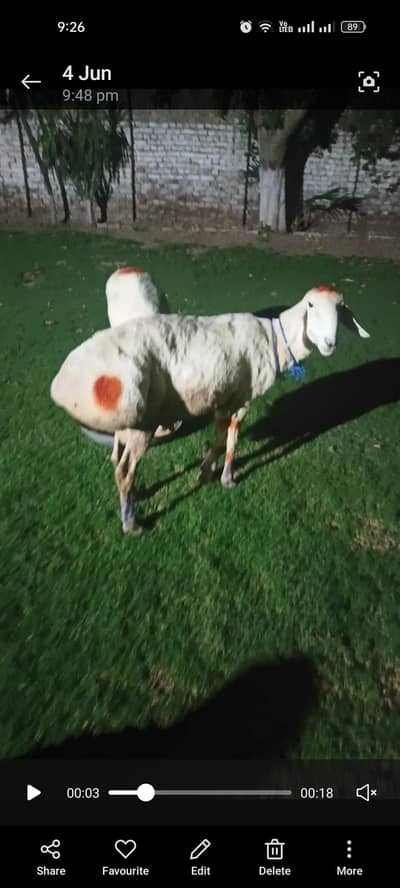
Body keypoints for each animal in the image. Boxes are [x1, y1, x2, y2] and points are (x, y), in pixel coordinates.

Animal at [51, 286, 370, 533]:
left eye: (341, 308)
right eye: (311, 305)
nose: (330, 344)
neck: (275, 341)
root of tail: (62, 384)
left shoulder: (222, 398)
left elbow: (218, 438)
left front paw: (206, 472)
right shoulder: (242, 398)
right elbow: (232, 439)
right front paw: (227, 478)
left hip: (128, 423)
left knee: (116, 459)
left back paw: (134, 496)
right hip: (142, 423)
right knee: (124, 470)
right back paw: (131, 523)